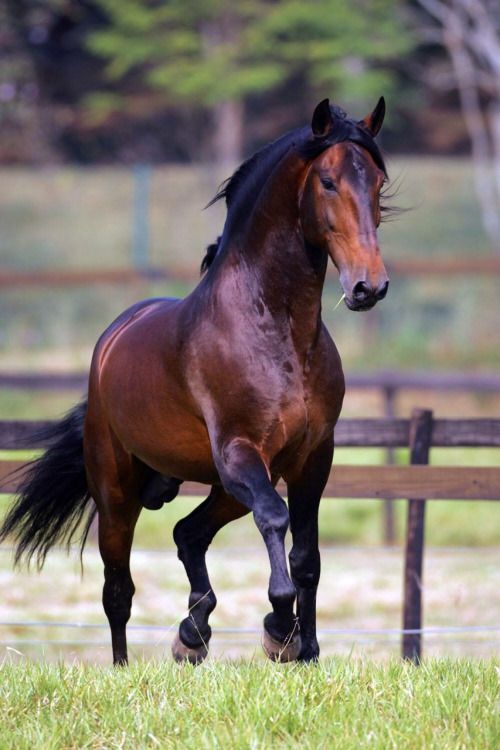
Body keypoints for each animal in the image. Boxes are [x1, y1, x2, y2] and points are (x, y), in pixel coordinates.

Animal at [0, 97, 390, 668]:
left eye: (380, 183)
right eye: (328, 182)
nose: (369, 286)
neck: (277, 331)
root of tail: (111, 341)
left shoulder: (312, 458)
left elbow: (307, 556)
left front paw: (307, 651)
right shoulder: (239, 451)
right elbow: (275, 520)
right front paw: (278, 628)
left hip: (226, 485)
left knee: (188, 533)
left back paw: (192, 634)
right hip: (119, 493)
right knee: (118, 590)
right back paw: (126, 667)